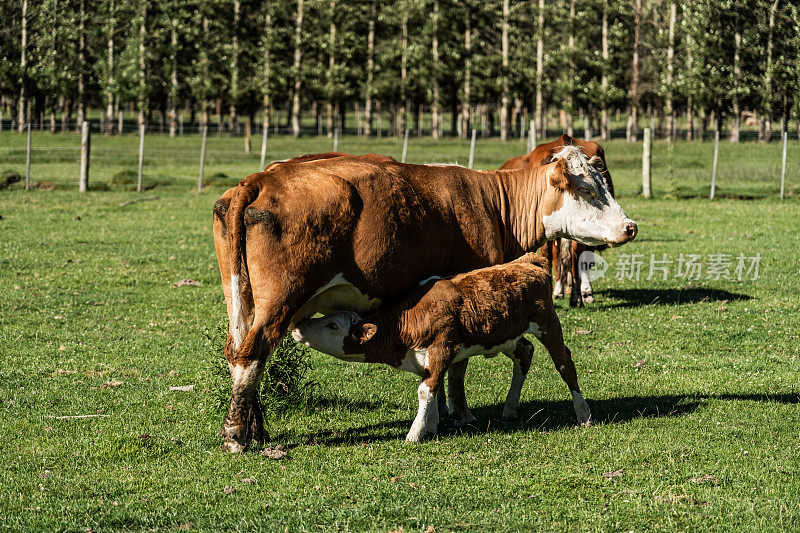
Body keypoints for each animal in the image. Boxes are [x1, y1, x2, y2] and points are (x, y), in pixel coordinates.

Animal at [290, 251, 588, 442]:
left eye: (332, 325)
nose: (298, 326)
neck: (407, 322)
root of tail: (528, 262)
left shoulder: (442, 348)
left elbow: (426, 389)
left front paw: (415, 433)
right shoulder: (426, 359)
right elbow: (431, 388)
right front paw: (431, 425)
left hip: (548, 323)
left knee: (565, 363)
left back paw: (583, 413)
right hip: (506, 334)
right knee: (525, 354)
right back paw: (510, 407)